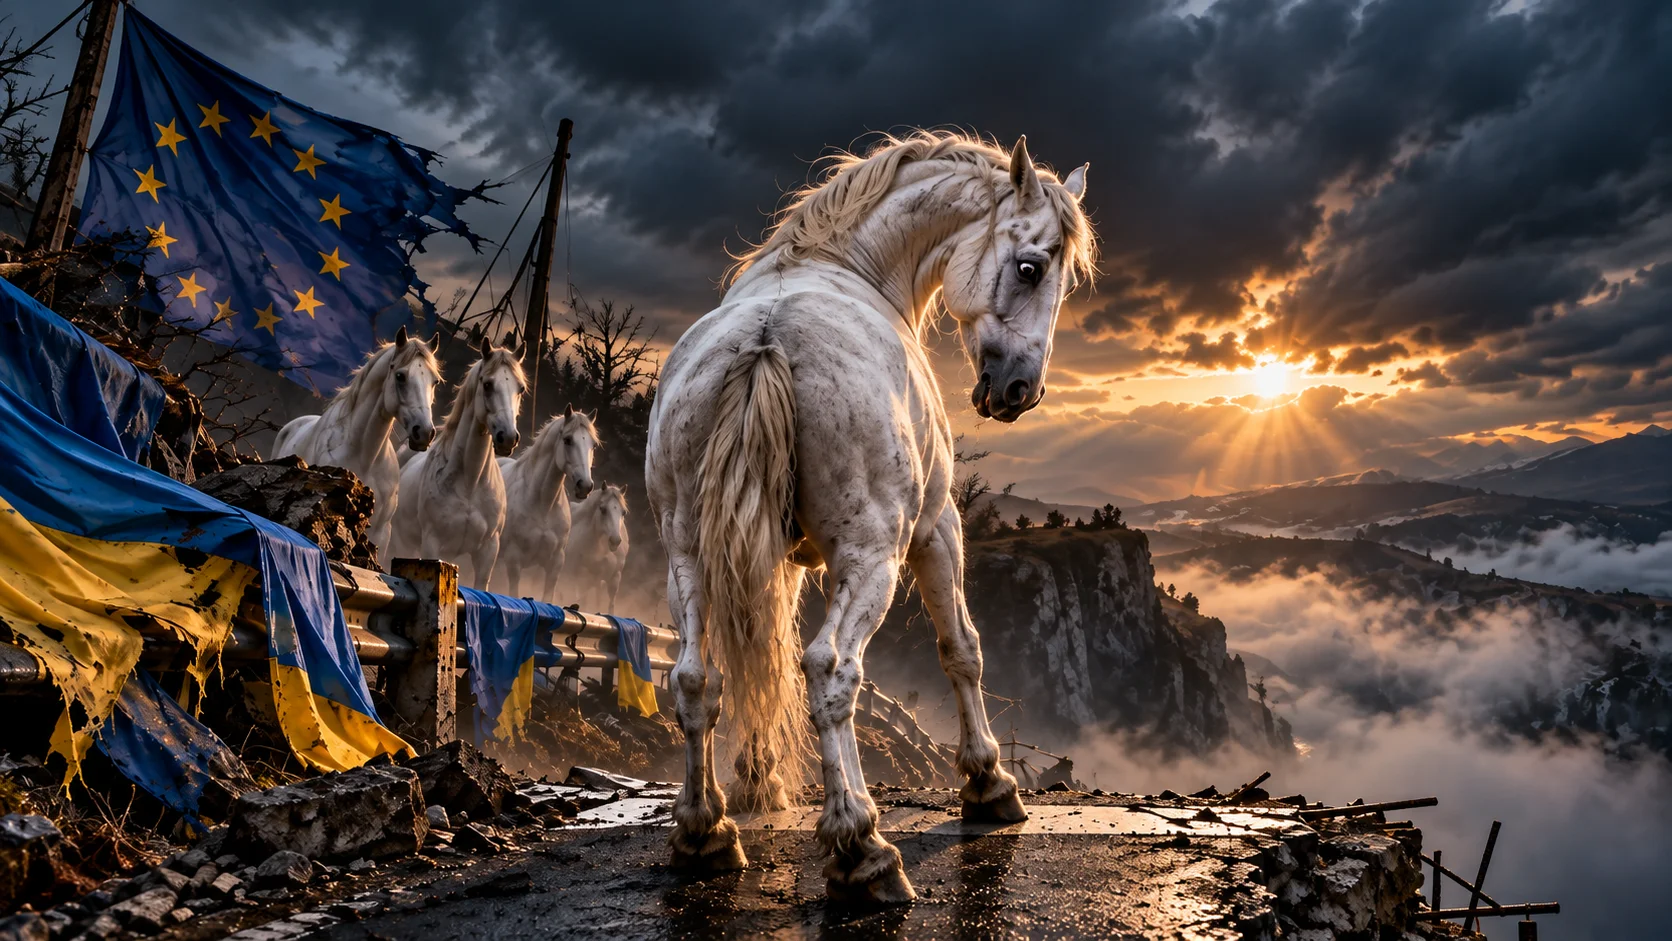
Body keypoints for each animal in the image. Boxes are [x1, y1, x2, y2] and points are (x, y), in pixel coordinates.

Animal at [389, 338, 525, 588]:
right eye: (488, 384)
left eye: (520, 388)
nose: (508, 437)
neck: (469, 483)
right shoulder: (432, 545)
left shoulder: (487, 553)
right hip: (404, 543)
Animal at [491, 406, 599, 600]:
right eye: (568, 440)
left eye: (593, 444)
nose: (585, 485)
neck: (543, 505)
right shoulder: (514, 562)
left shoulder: (555, 564)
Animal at [566, 483, 628, 611]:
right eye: (603, 509)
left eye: (623, 512)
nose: (615, 540)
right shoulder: (583, 578)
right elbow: (583, 603)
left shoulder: (614, 578)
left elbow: (610, 605)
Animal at [644, 131, 1094, 902]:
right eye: (1030, 268)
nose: (1019, 390)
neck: (842, 264)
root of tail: (766, 340)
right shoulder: (938, 529)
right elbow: (961, 647)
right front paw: (989, 782)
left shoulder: (774, 556)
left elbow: (763, 646)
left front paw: (760, 778)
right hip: (874, 556)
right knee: (831, 670)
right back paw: (862, 846)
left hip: (689, 558)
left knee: (697, 677)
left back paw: (706, 831)